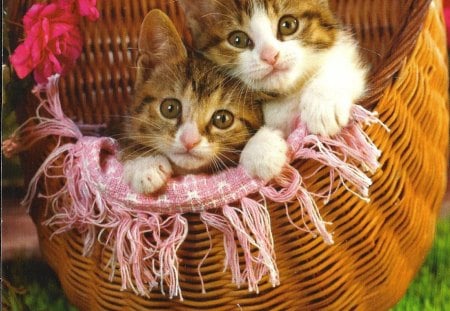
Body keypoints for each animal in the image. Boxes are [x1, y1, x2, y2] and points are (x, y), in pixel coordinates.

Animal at [178, 0, 368, 180]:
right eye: (237, 39)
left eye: (288, 24)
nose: (270, 55)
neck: (284, 95)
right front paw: (261, 150)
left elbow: (342, 68)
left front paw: (322, 105)